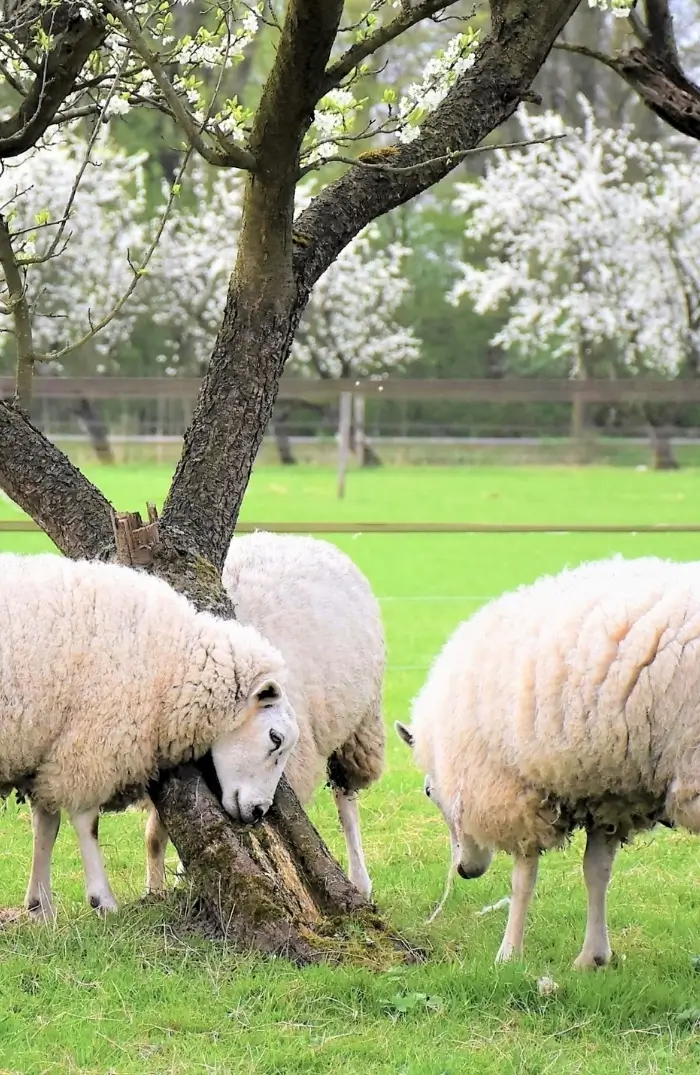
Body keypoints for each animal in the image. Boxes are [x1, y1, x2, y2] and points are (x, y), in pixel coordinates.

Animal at [0, 553, 298, 920]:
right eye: (275, 738)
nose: (258, 812)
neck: (169, 662)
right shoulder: (92, 743)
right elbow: (86, 822)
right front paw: (102, 900)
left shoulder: (52, 746)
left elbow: (46, 824)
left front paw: (41, 906)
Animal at [144, 531, 386, 900]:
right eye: (274, 738)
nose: (258, 812)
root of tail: (297, 537)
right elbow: (157, 834)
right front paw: (156, 890)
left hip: (355, 729)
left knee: (346, 802)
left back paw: (360, 881)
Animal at [396, 555, 700, 968]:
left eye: (429, 792)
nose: (465, 871)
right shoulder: (609, 794)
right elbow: (596, 871)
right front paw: (593, 957)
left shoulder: (515, 790)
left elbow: (522, 879)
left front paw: (509, 953)